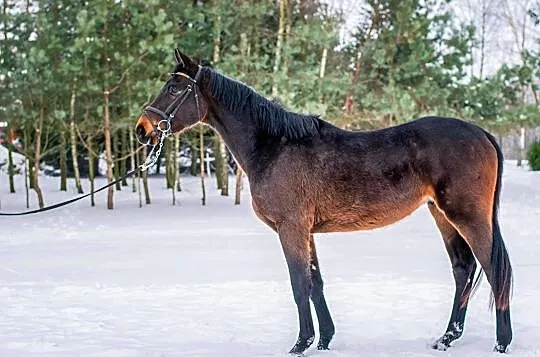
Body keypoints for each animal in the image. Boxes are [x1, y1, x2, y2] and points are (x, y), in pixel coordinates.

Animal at [136, 49, 516, 354]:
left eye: (174, 88)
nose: (142, 129)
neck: (274, 145)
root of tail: (480, 133)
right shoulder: (307, 231)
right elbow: (315, 282)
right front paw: (324, 340)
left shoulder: (290, 228)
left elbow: (299, 283)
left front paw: (300, 344)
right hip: (442, 216)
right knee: (463, 270)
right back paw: (447, 338)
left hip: (467, 216)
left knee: (494, 269)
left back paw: (502, 342)